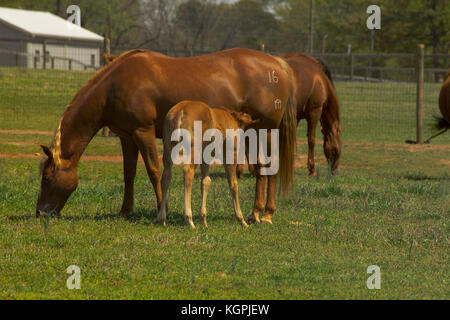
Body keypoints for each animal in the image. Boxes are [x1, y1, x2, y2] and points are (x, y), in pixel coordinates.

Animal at [157, 101, 256, 229]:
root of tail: (180, 110)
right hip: (194, 149)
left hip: (169, 148)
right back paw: (189, 219)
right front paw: (242, 220)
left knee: (166, 176)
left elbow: (206, 181)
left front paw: (203, 219)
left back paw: (162, 219)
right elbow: (233, 184)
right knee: (187, 172)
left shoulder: (206, 157)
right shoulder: (229, 154)